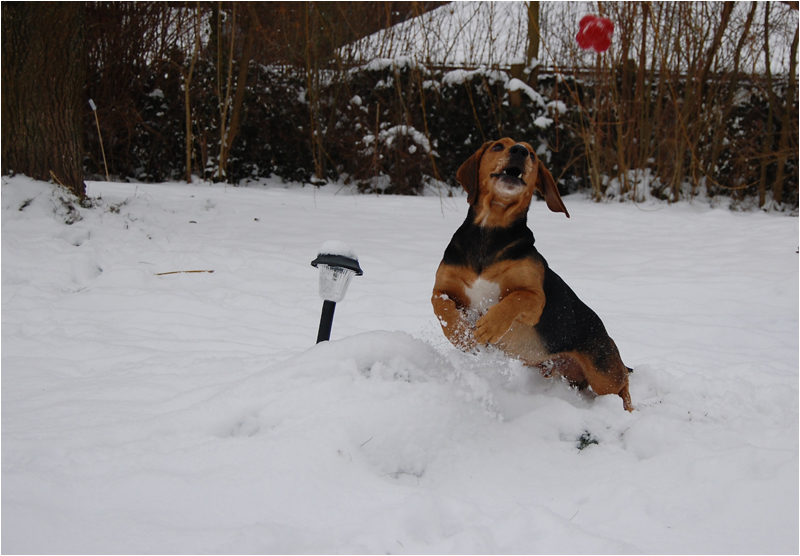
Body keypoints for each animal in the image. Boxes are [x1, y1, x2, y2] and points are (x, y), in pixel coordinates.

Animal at [434, 137, 636, 410]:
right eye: (498, 146)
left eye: (531, 153)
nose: (519, 151)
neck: (490, 230)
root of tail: (607, 337)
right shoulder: (443, 289)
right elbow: (442, 307)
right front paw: (460, 336)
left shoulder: (535, 298)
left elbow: (513, 300)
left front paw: (489, 326)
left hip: (603, 374)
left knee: (623, 383)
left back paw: (629, 409)